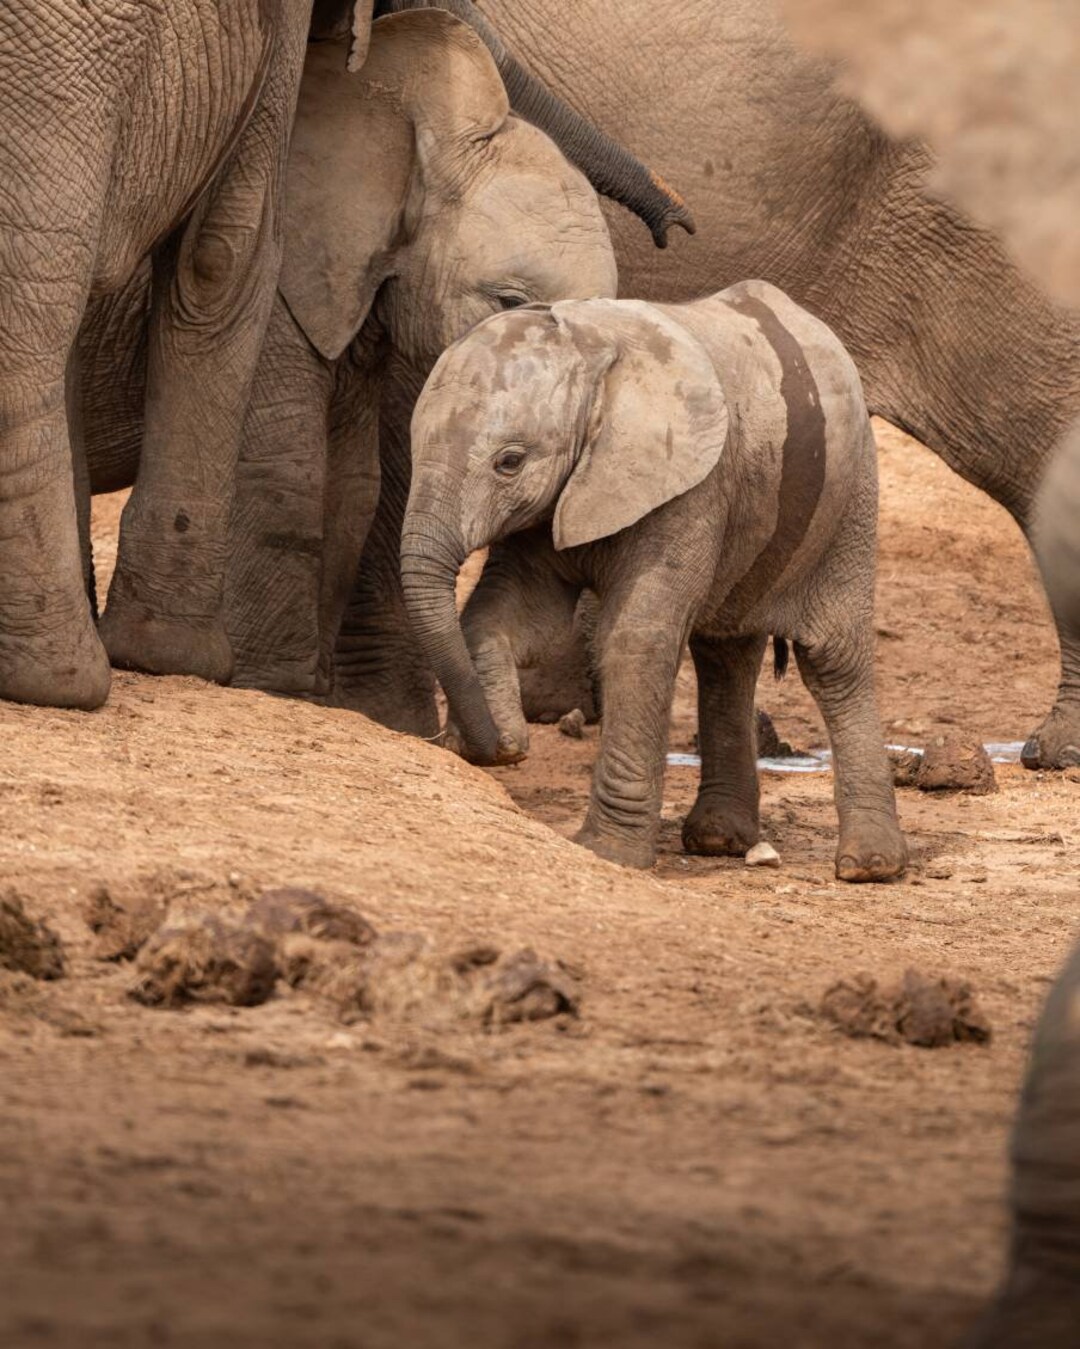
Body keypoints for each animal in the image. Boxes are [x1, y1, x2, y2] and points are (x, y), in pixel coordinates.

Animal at [400, 283, 909, 880]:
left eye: (510, 462)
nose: (498, 749)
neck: (593, 353)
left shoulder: (689, 487)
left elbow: (635, 641)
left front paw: (608, 853)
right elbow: (509, 614)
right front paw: (503, 736)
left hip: (851, 498)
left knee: (833, 662)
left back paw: (868, 865)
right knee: (725, 656)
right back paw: (718, 839)